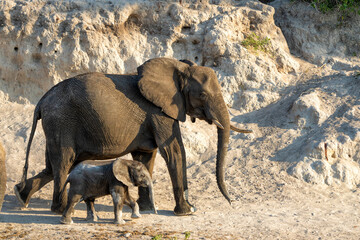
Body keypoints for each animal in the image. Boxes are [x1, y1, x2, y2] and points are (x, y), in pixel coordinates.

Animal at [14, 58, 250, 216]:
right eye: (202, 94)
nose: (231, 202)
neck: (179, 68)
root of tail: (41, 100)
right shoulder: (160, 112)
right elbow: (173, 151)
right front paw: (187, 211)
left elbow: (146, 156)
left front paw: (146, 209)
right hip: (61, 121)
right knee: (64, 162)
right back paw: (59, 209)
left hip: (57, 124)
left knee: (54, 165)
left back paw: (21, 196)